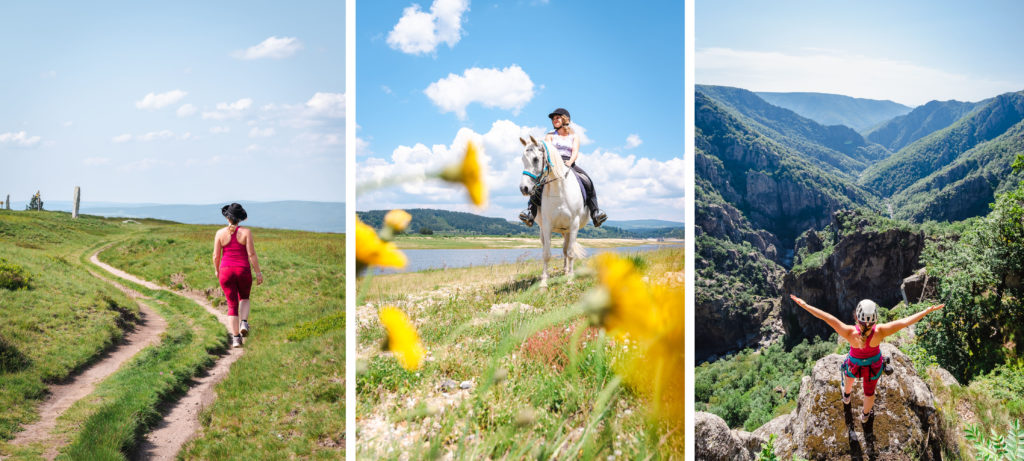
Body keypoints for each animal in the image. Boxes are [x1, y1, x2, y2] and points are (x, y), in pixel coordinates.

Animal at [520, 133, 585, 286]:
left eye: (536, 159)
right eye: (522, 159)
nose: (524, 188)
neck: (559, 189)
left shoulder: (574, 224)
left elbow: (571, 253)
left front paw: (570, 279)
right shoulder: (547, 225)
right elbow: (546, 254)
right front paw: (544, 281)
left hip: (568, 230)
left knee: (567, 250)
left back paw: (567, 273)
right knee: (561, 249)